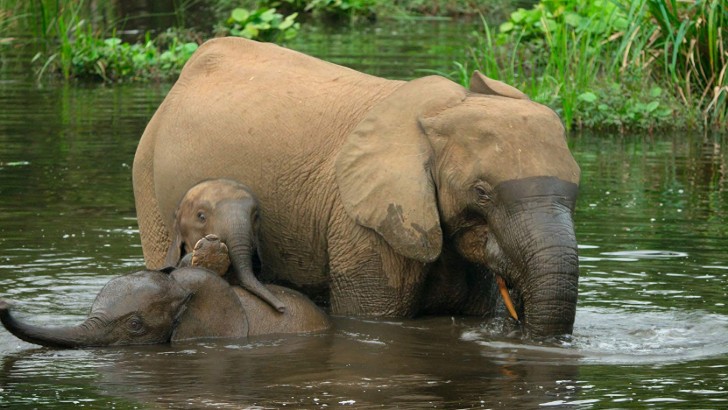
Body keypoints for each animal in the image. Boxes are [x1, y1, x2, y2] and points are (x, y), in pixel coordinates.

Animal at [134, 36, 584, 338]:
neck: (445, 110)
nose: (519, 325)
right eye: (482, 192)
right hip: (147, 179)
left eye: (576, 193)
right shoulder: (362, 224)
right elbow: (376, 317)